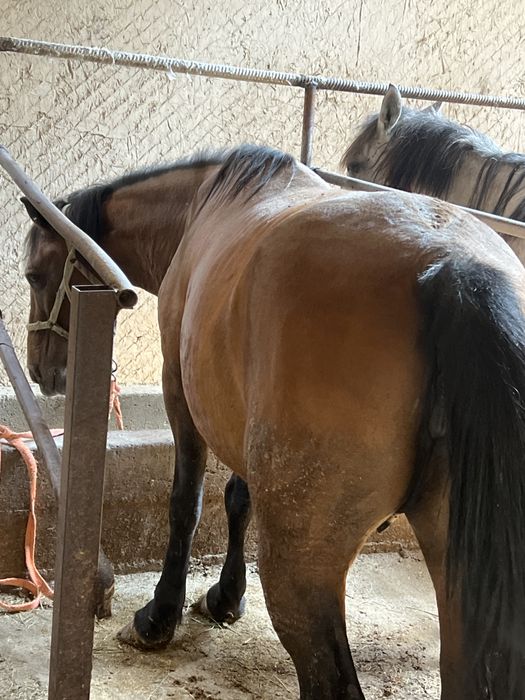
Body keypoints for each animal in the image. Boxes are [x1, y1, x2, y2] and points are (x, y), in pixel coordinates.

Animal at [22, 144, 525, 699]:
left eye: (33, 274)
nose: (42, 371)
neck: (202, 204)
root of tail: (452, 267)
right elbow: (238, 499)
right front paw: (225, 598)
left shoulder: (180, 394)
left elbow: (185, 504)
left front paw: (159, 617)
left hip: (301, 569)